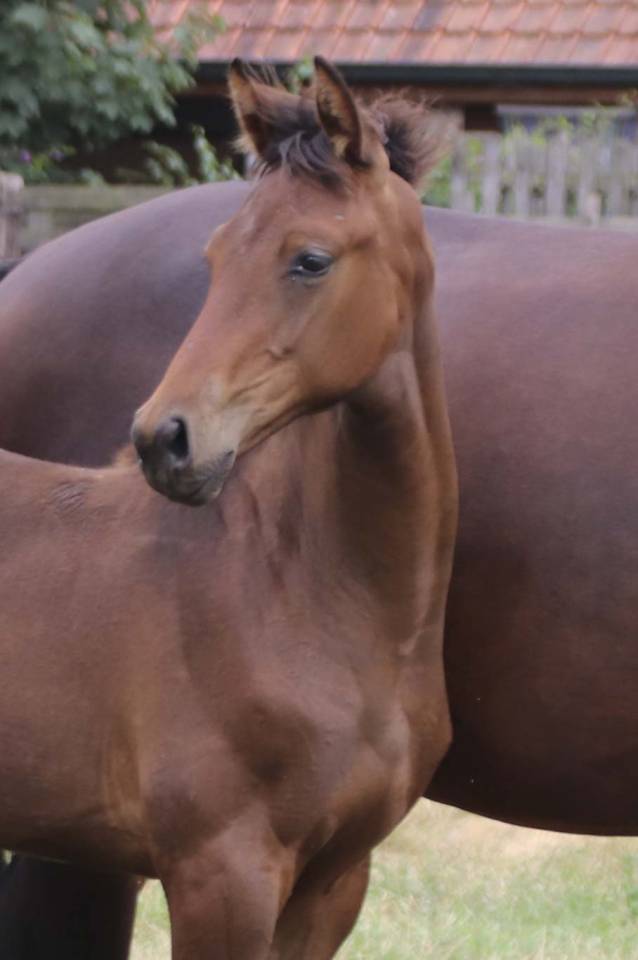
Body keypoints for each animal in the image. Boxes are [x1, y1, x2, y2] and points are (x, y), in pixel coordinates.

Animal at [1, 74, 638, 960]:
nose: (163, 438)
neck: (302, 587)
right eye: (213, 257)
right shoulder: (220, 873)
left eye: (310, 260)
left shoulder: (335, 878)